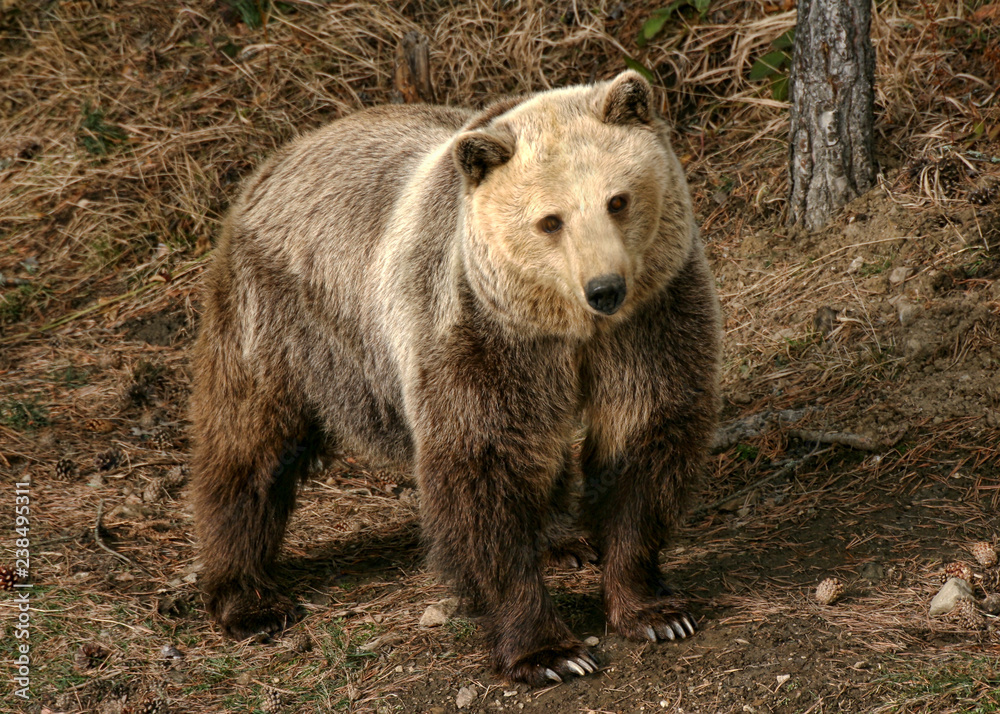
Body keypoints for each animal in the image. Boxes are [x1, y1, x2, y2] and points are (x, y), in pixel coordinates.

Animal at [190, 70, 720, 686]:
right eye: (550, 220)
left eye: (618, 200)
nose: (605, 288)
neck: (562, 327)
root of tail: (275, 158)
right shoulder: (477, 328)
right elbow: (482, 463)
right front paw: (549, 651)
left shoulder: (650, 319)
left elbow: (643, 436)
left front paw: (654, 611)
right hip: (283, 323)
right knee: (249, 442)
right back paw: (248, 598)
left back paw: (560, 540)